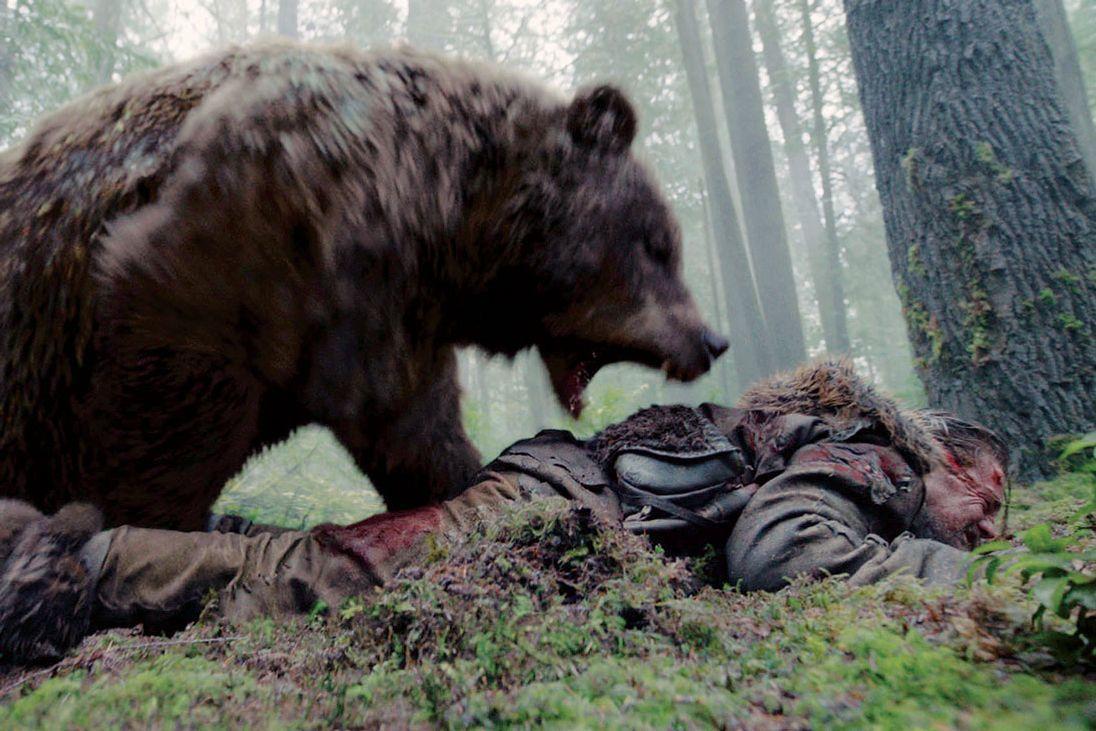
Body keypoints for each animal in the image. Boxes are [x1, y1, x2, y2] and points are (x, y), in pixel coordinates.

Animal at [0, 40, 727, 530]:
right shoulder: (253, 233)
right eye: (660, 242)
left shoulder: (383, 299)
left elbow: (401, 411)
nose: (711, 339)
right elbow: (165, 402)